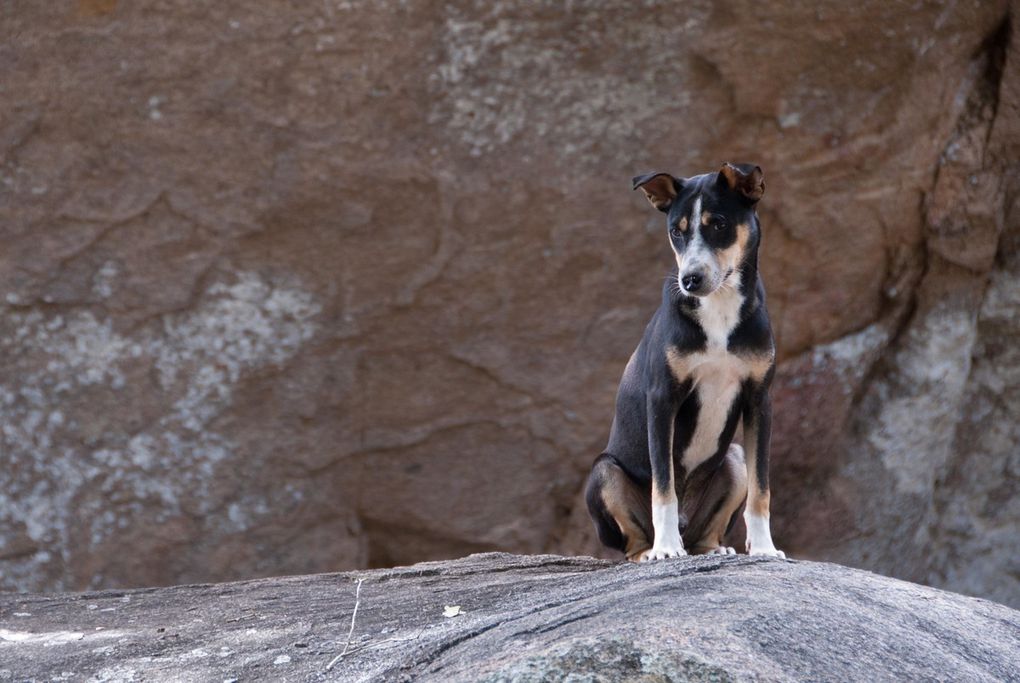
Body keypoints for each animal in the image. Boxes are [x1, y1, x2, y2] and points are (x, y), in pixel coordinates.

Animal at [587, 163, 783, 562]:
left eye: (718, 224)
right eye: (676, 231)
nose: (690, 280)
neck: (719, 308)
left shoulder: (759, 400)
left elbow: (762, 489)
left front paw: (765, 548)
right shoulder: (663, 400)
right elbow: (663, 487)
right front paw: (666, 549)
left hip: (734, 459)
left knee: (706, 532)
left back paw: (713, 550)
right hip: (603, 472)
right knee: (632, 540)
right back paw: (652, 550)